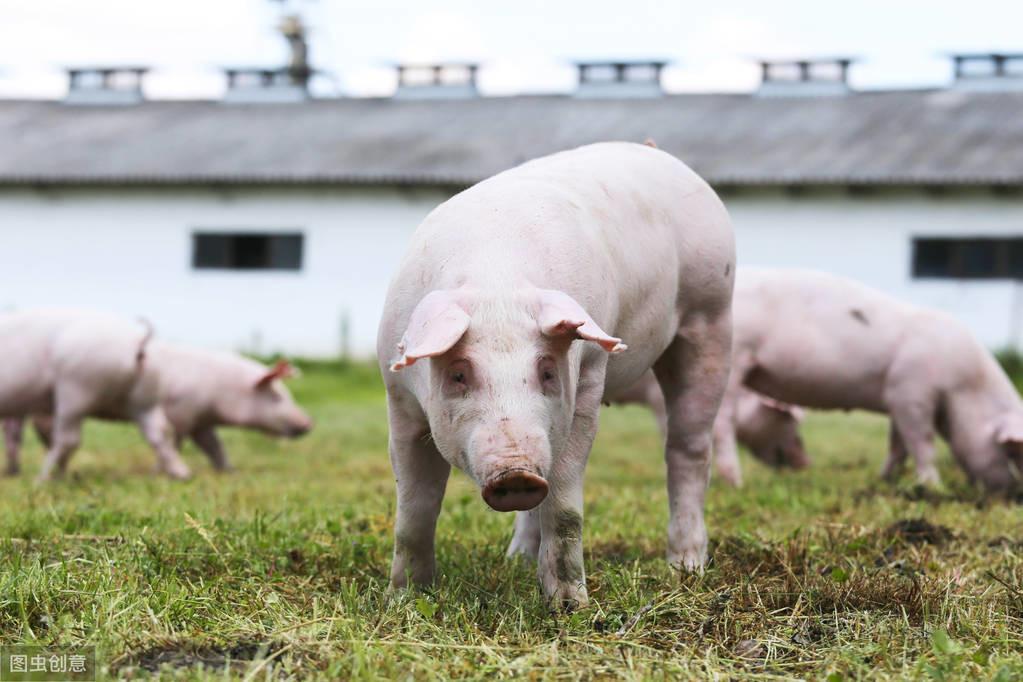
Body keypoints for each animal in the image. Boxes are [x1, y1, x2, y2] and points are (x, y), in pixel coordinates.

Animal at [0, 308, 186, 480]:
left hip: (75, 389)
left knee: (68, 439)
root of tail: (139, 341)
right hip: (145, 400)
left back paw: (42, 479)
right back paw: (179, 473)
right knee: (162, 430)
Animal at [3, 343, 310, 478]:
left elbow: (214, 445)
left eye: (287, 394)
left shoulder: (200, 421)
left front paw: (229, 471)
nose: (309, 422)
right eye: (278, 397)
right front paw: (160, 472)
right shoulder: (180, 412)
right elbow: (175, 441)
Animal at [376, 141, 736, 609]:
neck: (497, 281)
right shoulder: (399, 398)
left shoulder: (588, 377)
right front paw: (403, 600)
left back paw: (686, 567)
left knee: (688, 448)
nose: (516, 475)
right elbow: (414, 507)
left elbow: (564, 503)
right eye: (458, 375)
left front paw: (569, 607)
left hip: (711, 313)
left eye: (547, 370)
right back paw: (516, 560)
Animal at [712, 267, 1023, 490]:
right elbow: (923, 444)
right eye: (1009, 451)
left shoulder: (897, 400)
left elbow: (898, 447)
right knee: (723, 424)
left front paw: (884, 481)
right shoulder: (911, 392)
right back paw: (735, 483)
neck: (964, 387)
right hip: (736, 357)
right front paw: (934, 487)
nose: (1010, 493)